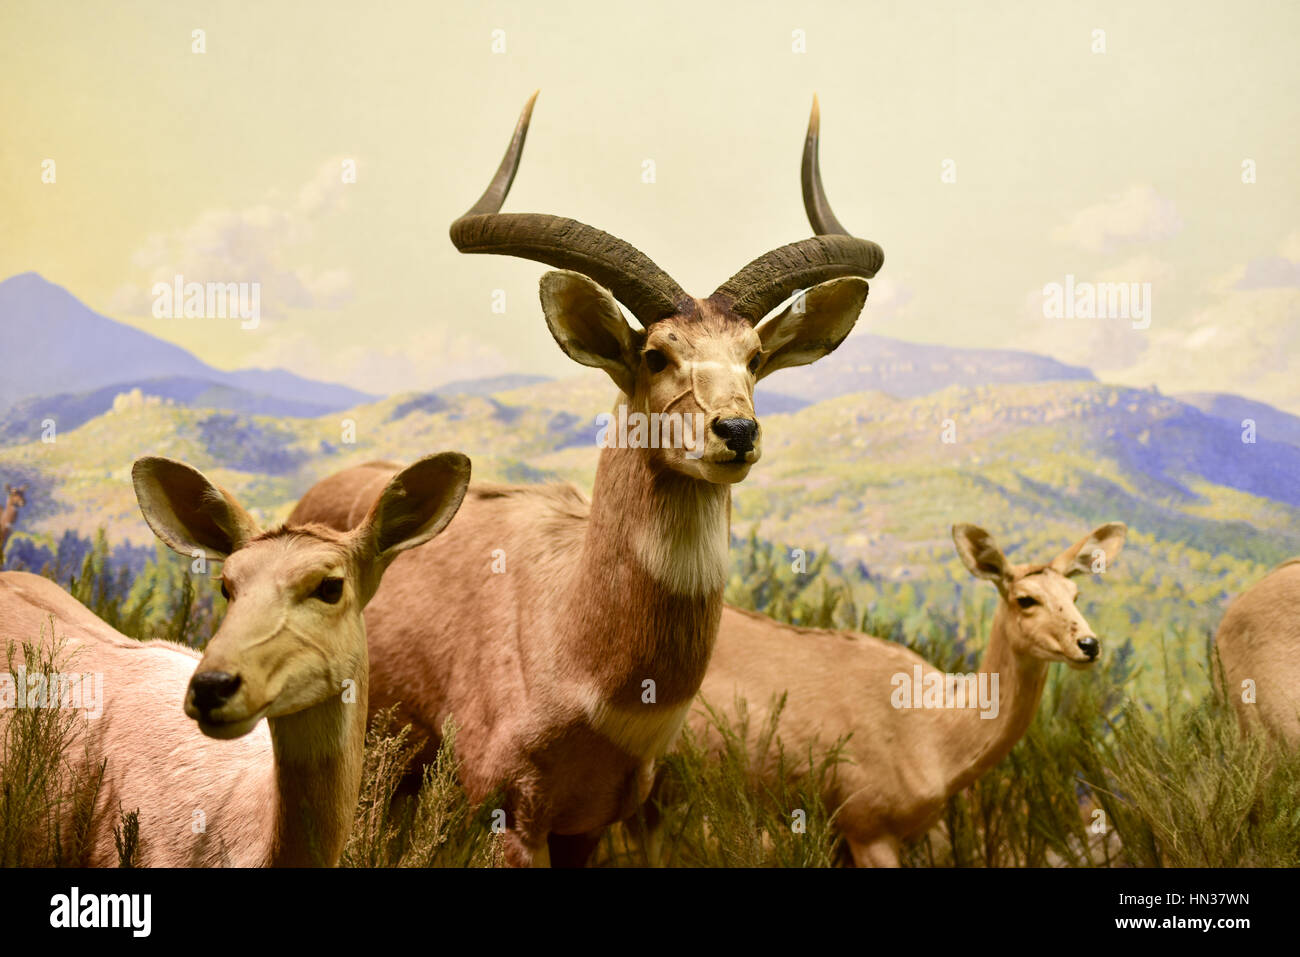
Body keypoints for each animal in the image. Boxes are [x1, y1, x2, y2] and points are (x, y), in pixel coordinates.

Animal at [289, 93, 884, 866]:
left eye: (754, 356)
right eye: (657, 353)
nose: (736, 431)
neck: (576, 656)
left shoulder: (592, 823)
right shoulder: (507, 810)